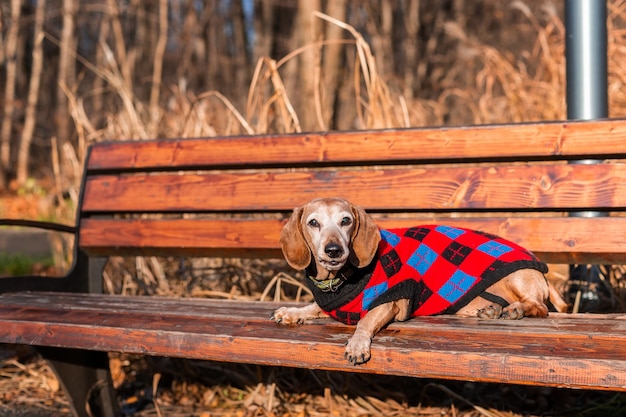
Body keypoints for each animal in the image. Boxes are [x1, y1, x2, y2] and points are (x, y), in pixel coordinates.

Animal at [270, 198, 564, 364]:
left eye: (346, 221)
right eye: (313, 223)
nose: (334, 250)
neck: (341, 279)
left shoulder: (388, 302)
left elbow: (364, 322)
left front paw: (356, 344)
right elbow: (313, 308)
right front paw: (291, 312)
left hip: (518, 277)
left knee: (539, 306)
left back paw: (515, 310)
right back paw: (493, 310)